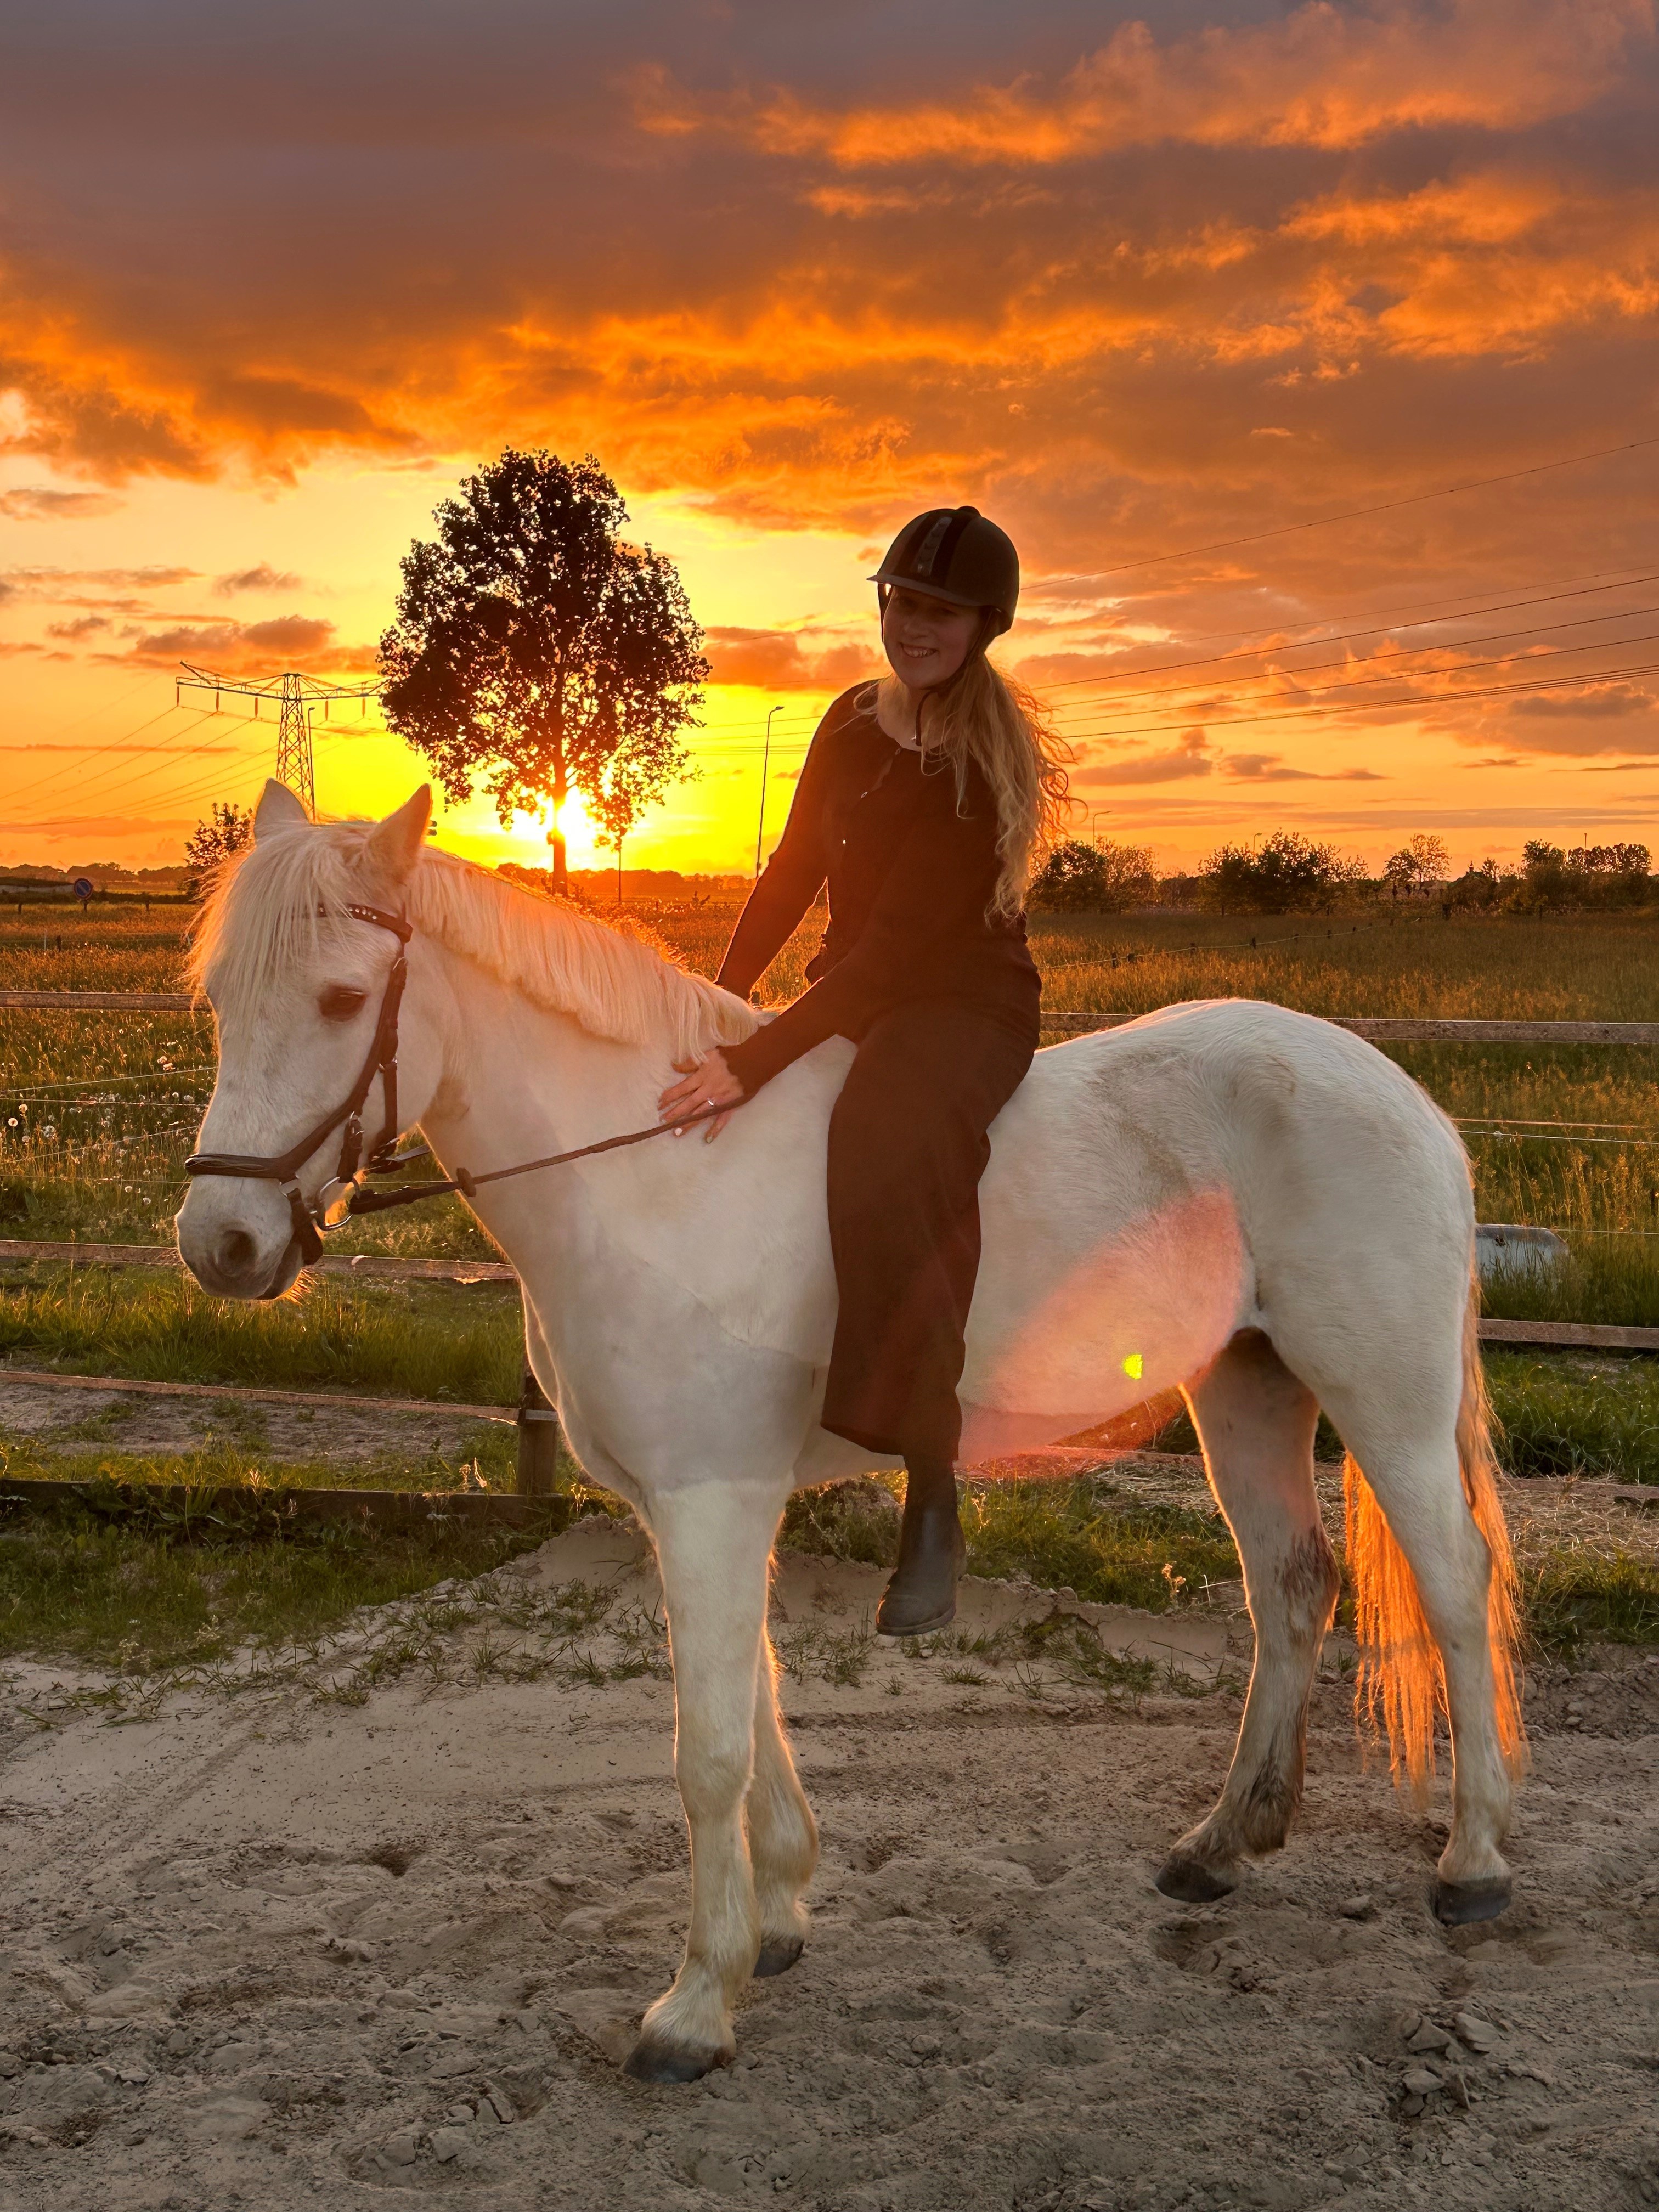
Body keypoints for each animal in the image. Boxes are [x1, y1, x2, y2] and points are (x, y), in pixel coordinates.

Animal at [176, 781, 1526, 2085]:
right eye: (222, 1001)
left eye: (343, 998)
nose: (221, 1245)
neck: (658, 1176)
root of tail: (1401, 1094)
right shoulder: (702, 1506)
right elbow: (758, 1705)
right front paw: (776, 1919)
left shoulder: (713, 1500)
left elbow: (709, 1748)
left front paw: (692, 2008)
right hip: (1244, 1390)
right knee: (1290, 1587)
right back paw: (1224, 1842)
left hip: (1385, 1402)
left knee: (1453, 1587)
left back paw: (1473, 1865)